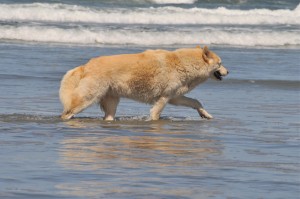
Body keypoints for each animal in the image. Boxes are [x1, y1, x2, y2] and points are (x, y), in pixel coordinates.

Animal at [58, 45, 229, 119]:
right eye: (220, 63)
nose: (228, 72)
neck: (184, 63)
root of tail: (86, 65)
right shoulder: (164, 98)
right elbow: (155, 114)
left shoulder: (174, 97)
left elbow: (196, 102)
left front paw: (205, 114)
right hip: (87, 99)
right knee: (67, 113)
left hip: (111, 101)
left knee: (108, 117)